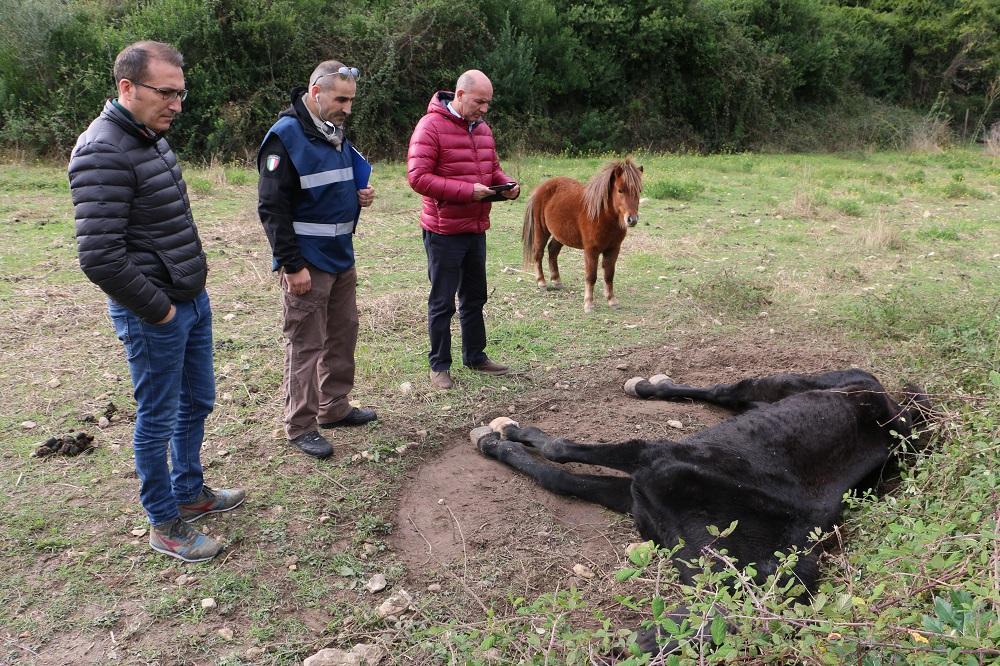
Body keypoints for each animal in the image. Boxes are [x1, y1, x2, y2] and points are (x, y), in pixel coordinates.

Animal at [521, 158, 643, 312]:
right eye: (620, 190)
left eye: (639, 191)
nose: (632, 219)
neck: (601, 215)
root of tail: (540, 188)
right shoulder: (591, 250)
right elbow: (591, 276)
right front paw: (588, 303)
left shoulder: (614, 249)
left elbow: (609, 275)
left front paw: (612, 300)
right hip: (541, 230)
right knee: (538, 253)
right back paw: (541, 282)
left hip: (560, 234)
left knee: (552, 251)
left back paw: (557, 281)